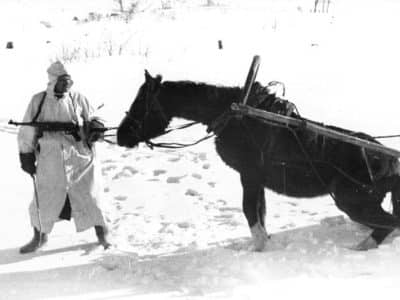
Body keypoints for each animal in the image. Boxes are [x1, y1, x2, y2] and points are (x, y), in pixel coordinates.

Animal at [118, 70, 400, 251]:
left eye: (140, 104)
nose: (121, 135)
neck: (234, 116)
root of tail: (390, 160)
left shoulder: (249, 175)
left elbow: (250, 211)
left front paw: (258, 247)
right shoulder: (256, 180)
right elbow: (260, 212)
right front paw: (264, 241)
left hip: (352, 201)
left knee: (388, 224)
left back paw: (360, 247)